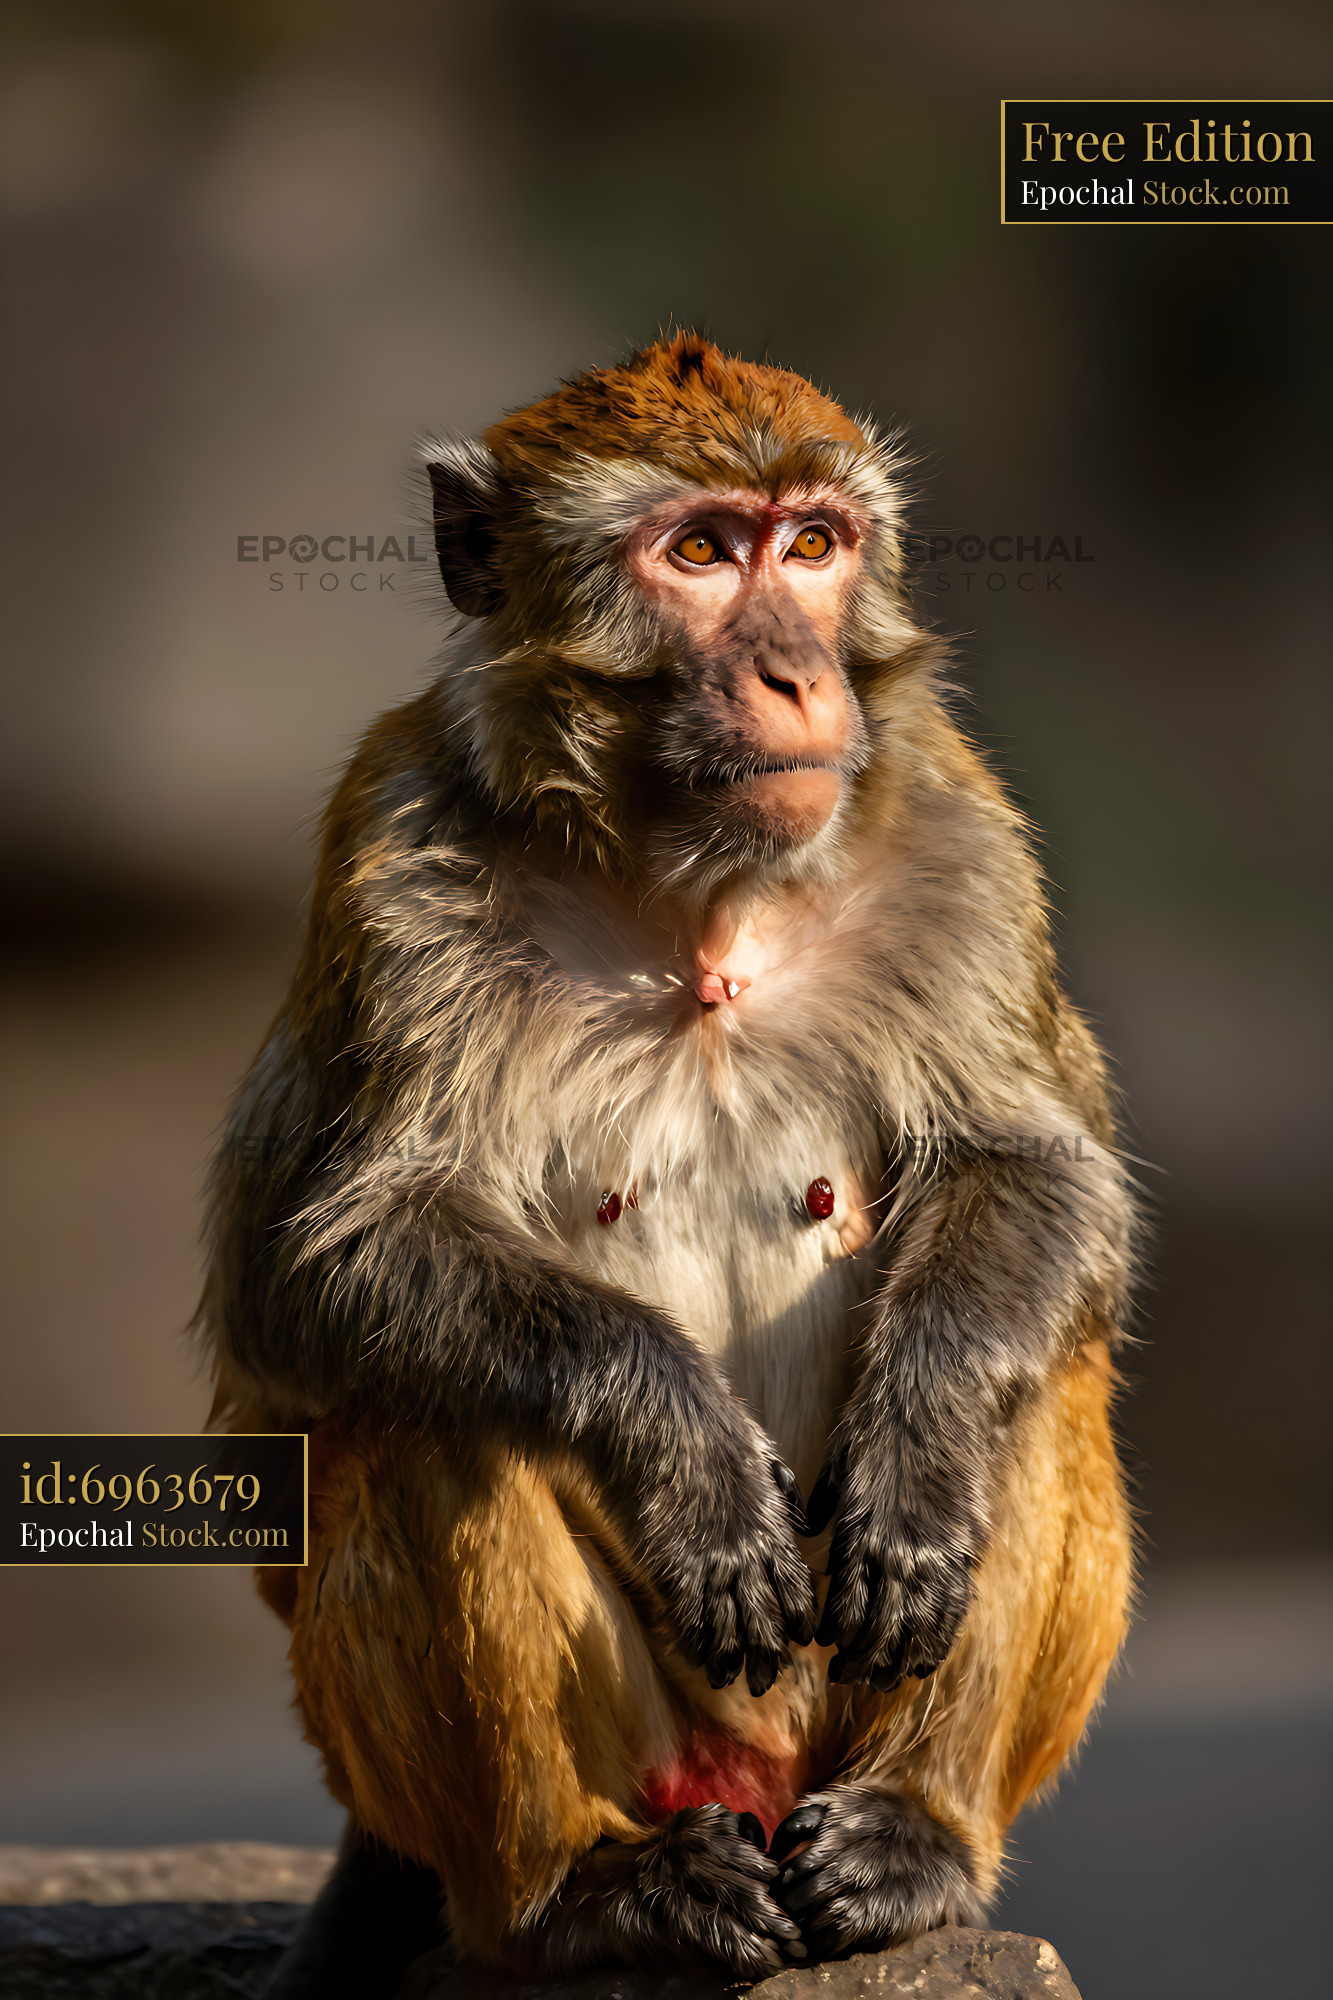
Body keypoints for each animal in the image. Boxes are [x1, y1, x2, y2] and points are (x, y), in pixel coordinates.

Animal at [199, 333, 1133, 1993]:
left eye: (812, 546)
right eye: (699, 553)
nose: (795, 676)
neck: (695, 892)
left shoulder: (962, 832)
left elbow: (1034, 1166)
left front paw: (920, 1449)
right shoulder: (388, 849)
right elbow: (316, 1263)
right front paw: (682, 1453)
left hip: (826, 1717)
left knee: (1046, 1372)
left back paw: (912, 1835)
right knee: (437, 1410)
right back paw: (585, 1889)